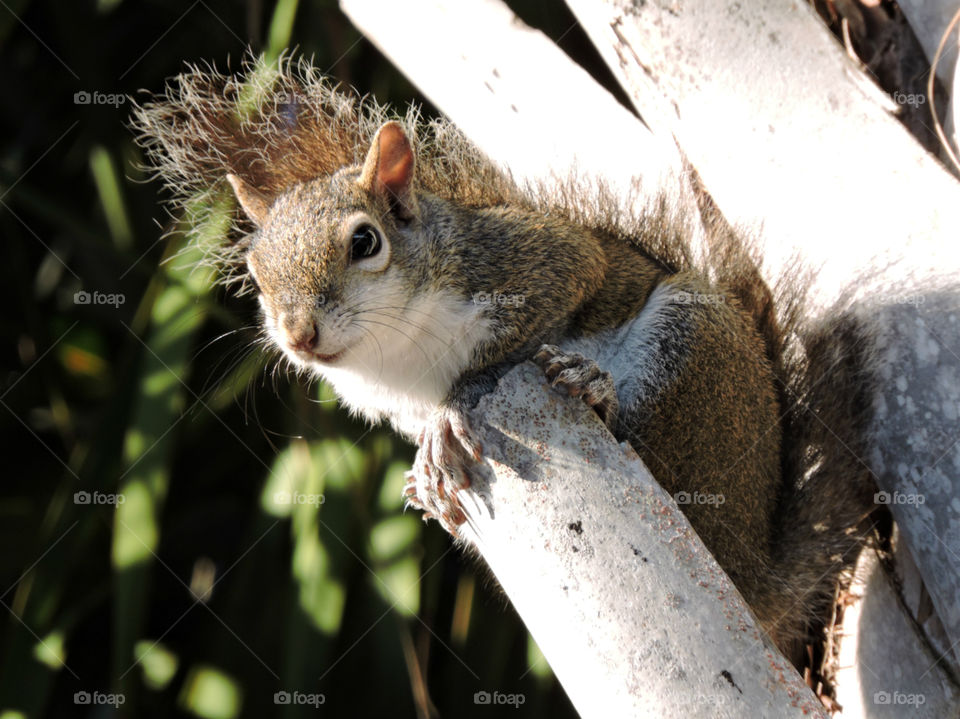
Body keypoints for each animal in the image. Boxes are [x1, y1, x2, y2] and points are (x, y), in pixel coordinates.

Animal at [133, 59, 876, 672]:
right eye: (257, 274)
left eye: (365, 242)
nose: (299, 337)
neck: (396, 357)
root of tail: (757, 581)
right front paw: (424, 471)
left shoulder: (531, 262)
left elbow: (534, 316)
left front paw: (449, 416)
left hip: (697, 363)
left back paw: (595, 390)